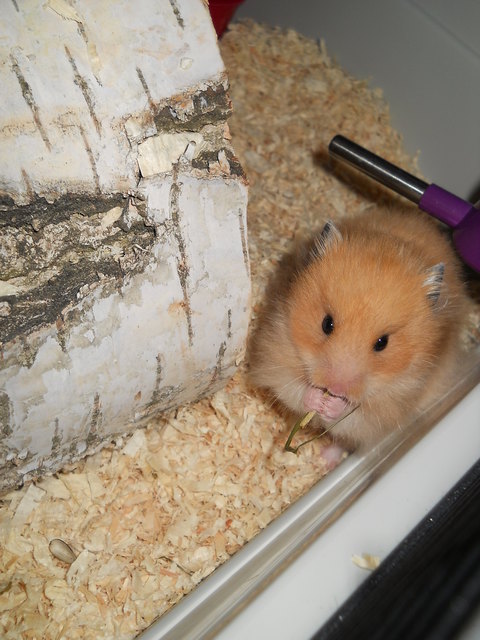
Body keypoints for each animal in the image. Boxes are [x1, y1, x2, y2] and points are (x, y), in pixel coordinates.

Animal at [248, 206, 468, 449]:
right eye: (326, 324)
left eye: (383, 343)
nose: (335, 389)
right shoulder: (279, 346)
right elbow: (293, 388)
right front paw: (318, 400)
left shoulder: (395, 399)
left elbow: (355, 417)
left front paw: (331, 406)